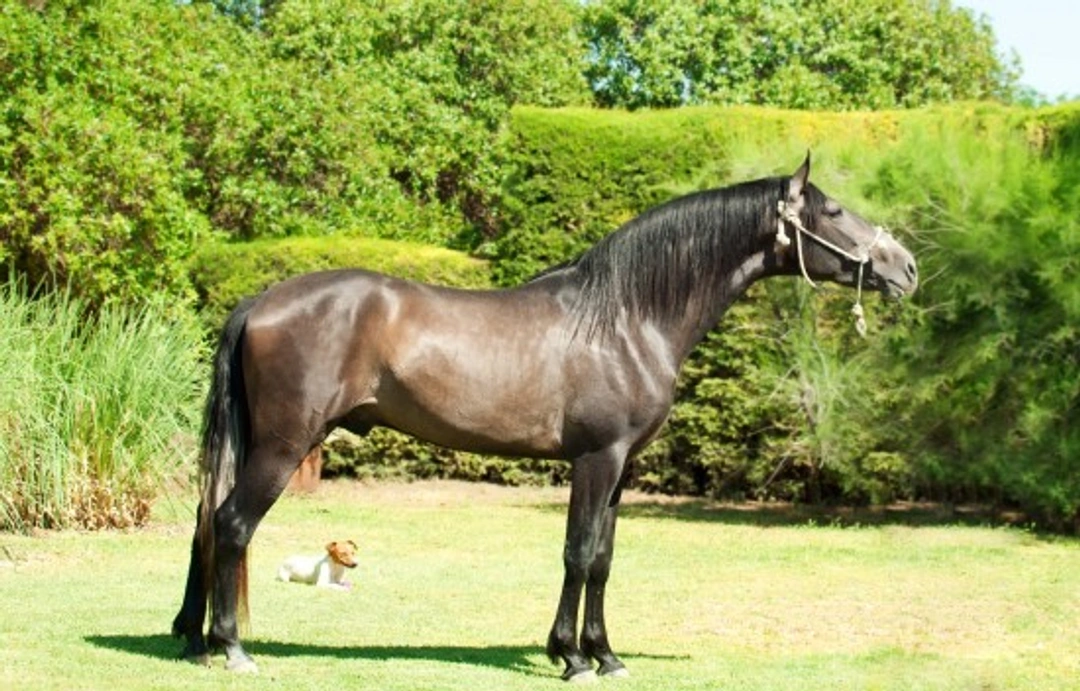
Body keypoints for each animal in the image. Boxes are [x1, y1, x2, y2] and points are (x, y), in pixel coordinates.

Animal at [172, 154, 918, 680]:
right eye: (834, 209)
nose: (905, 266)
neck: (627, 316)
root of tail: (261, 300)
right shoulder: (596, 459)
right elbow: (578, 552)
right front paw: (573, 657)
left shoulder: (621, 468)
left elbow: (604, 559)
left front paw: (605, 653)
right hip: (282, 445)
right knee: (232, 525)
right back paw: (232, 647)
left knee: (208, 523)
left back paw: (195, 639)